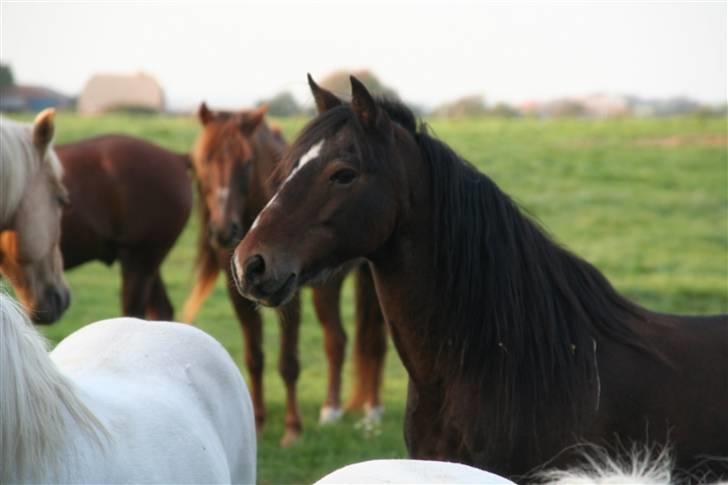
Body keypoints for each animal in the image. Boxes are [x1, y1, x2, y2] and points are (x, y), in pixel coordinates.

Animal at [181, 103, 386, 446]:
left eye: (247, 163)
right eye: (203, 160)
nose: (223, 231)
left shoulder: (288, 297)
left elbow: (288, 362)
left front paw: (293, 429)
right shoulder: (239, 294)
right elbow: (254, 358)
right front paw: (259, 422)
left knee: (365, 340)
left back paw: (366, 410)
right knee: (338, 338)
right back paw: (334, 410)